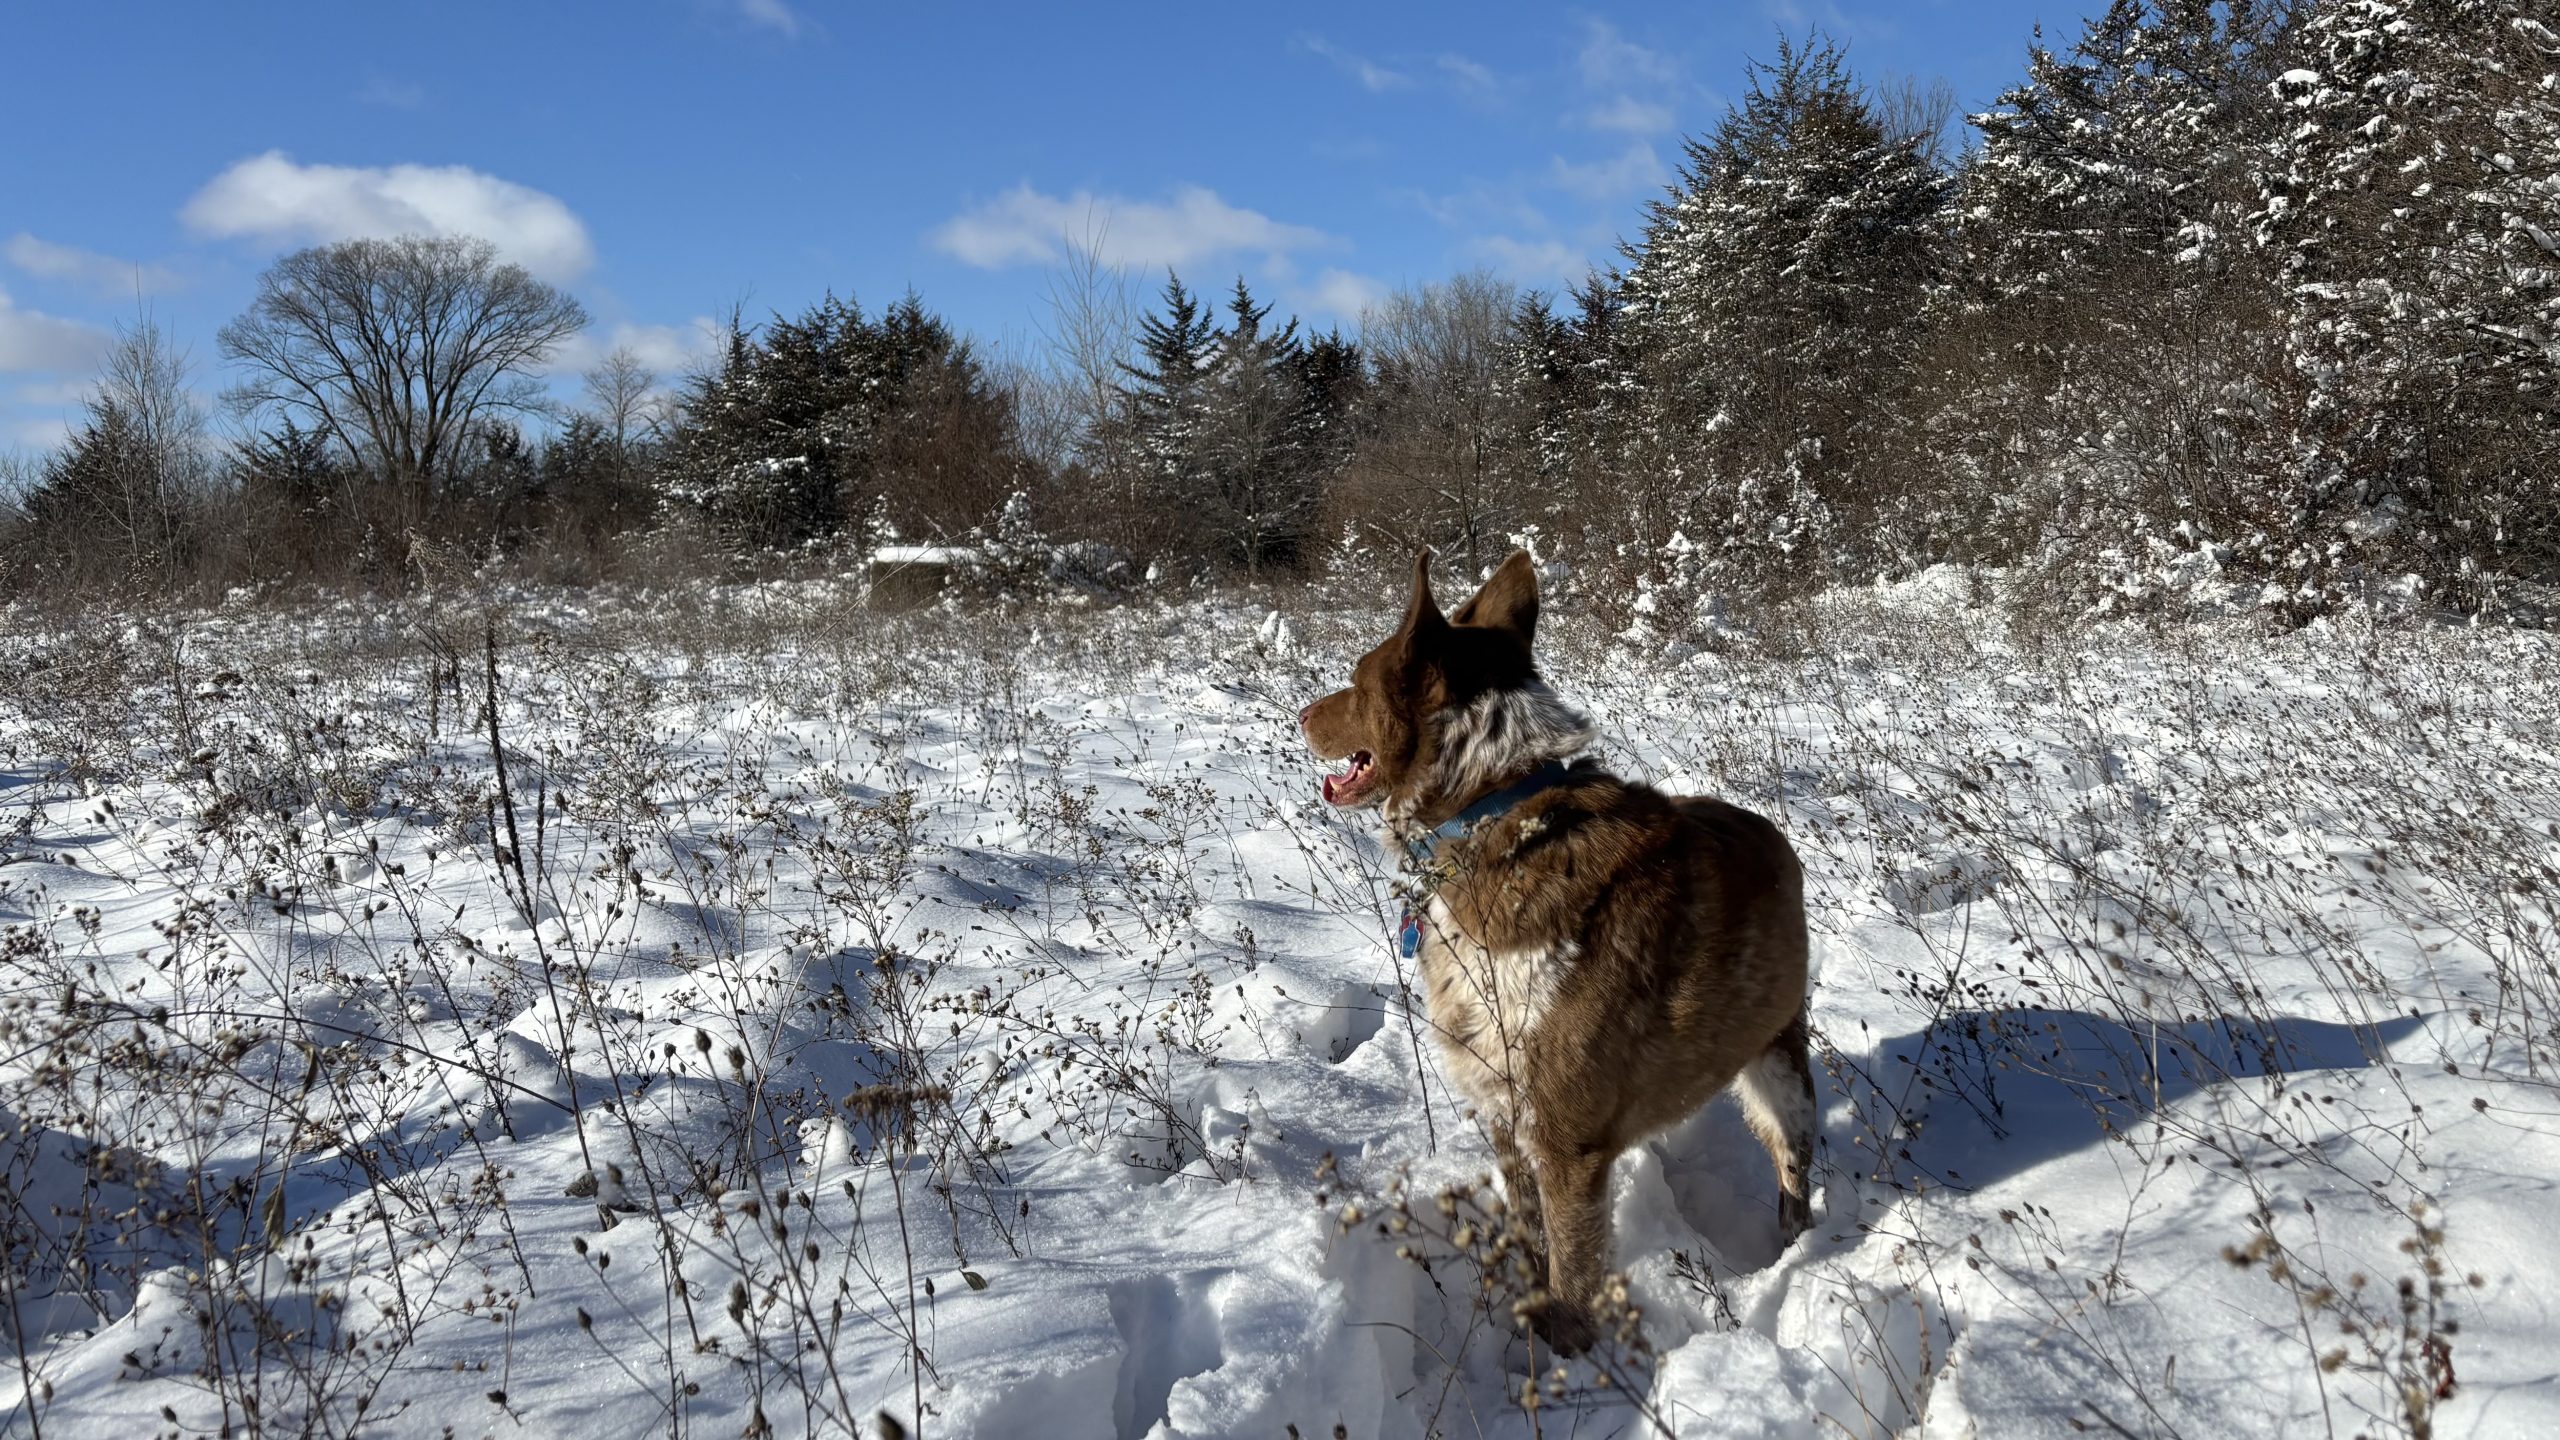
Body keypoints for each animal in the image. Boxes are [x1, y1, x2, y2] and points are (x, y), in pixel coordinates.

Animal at [1300, 543, 1822, 1352]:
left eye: (1357, 681)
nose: (1300, 715)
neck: (1495, 809)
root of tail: (1772, 833)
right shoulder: (1505, 1111)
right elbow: (1530, 1232)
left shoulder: (1566, 1138)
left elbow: (1573, 1273)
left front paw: (1564, 1355)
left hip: (1778, 1069)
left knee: (1794, 1168)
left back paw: (1796, 1253)